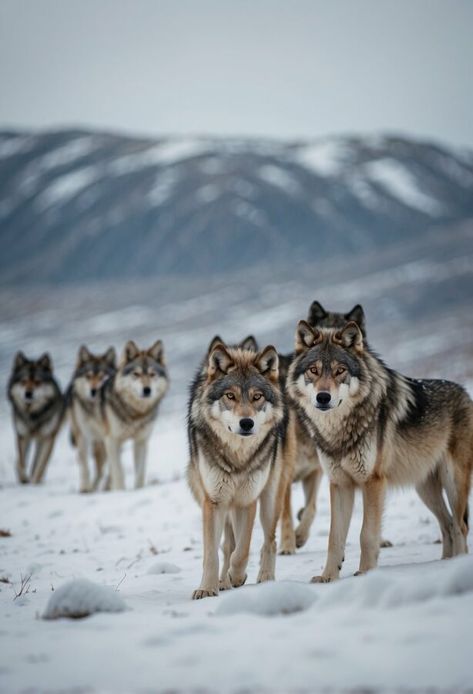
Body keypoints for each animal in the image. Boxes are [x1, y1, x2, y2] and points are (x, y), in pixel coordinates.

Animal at [7, 354, 64, 484]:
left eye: (38, 382)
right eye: (23, 381)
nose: (28, 393)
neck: (33, 414)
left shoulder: (47, 438)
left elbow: (40, 465)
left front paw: (34, 482)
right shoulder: (23, 436)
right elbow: (22, 462)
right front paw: (23, 479)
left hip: (41, 440)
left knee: (37, 462)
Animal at [67, 346, 116, 492]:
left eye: (102, 376)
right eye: (88, 376)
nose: (94, 391)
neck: (93, 408)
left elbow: (111, 464)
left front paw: (108, 486)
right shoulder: (82, 434)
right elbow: (84, 464)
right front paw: (85, 488)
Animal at [99, 342, 168, 492]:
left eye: (152, 374)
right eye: (136, 374)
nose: (147, 390)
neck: (135, 413)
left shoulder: (141, 440)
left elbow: (140, 473)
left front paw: (138, 490)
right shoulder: (112, 440)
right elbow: (118, 471)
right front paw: (120, 492)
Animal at [185, 338, 294, 600]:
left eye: (256, 397)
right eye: (230, 396)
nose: (246, 423)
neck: (237, 457)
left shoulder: (247, 500)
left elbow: (243, 550)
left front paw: (237, 576)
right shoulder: (214, 501)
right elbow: (212, 553)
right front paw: (208, 588)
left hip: (270, 498)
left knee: (269, 540)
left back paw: (264, 577)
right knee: (227, 545)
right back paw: (223, 582)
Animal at [286, 320, 470, 580]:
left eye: (340, 370)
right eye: (314, 370)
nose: (323, 397)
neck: (338, 431)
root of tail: (464, 391)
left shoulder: (372, 481)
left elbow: (367, 534)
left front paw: (365, 572)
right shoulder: (340, 484)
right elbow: (335, 538)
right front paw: (328, 577)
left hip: (452, 481)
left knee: (460, 525)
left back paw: (458, 563)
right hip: (424, 489)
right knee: (448, 524)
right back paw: (446, 561)